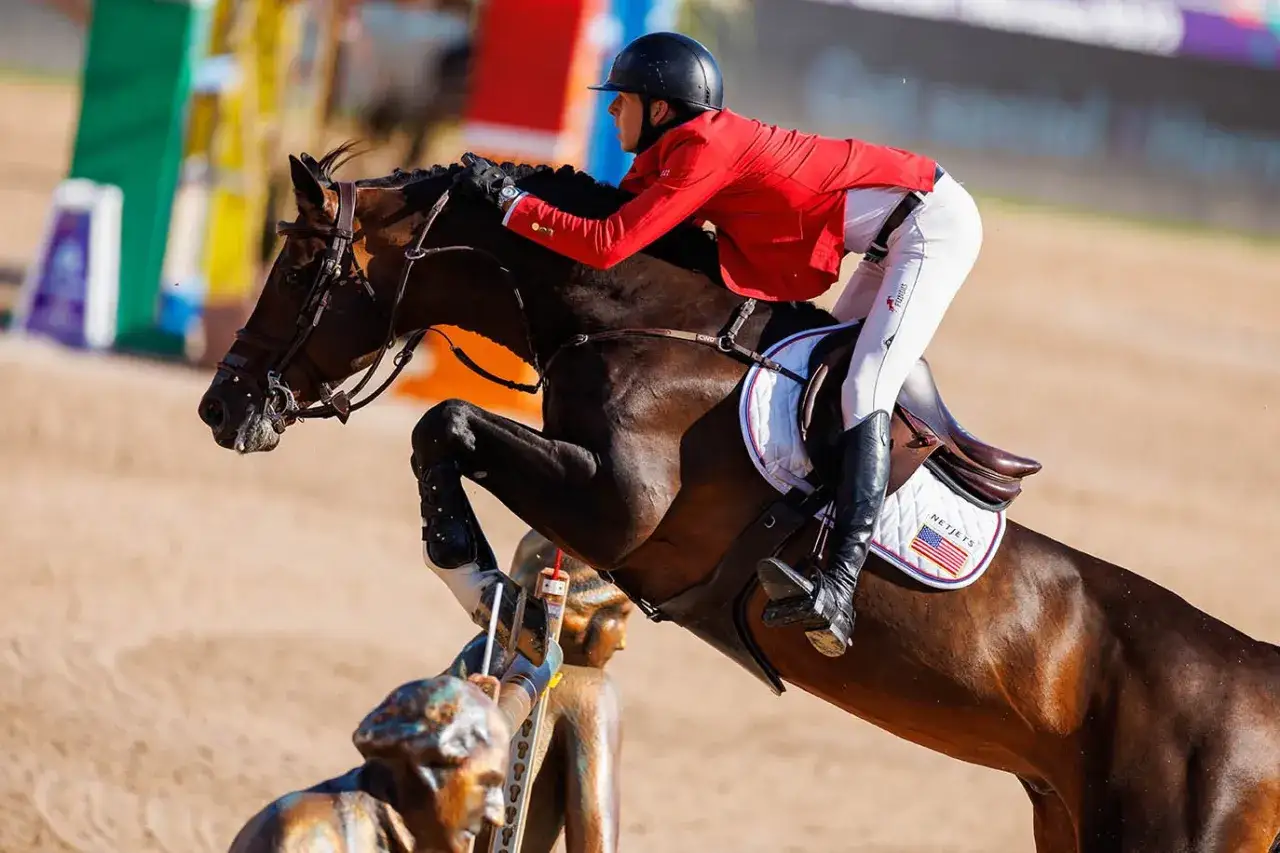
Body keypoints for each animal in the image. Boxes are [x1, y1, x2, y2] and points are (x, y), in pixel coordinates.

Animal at [197, 146, 1280, 853]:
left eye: (299, 265)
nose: (221, 406)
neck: (638, 323)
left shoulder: (622, 510)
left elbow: (446, 424)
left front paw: (467, 566)